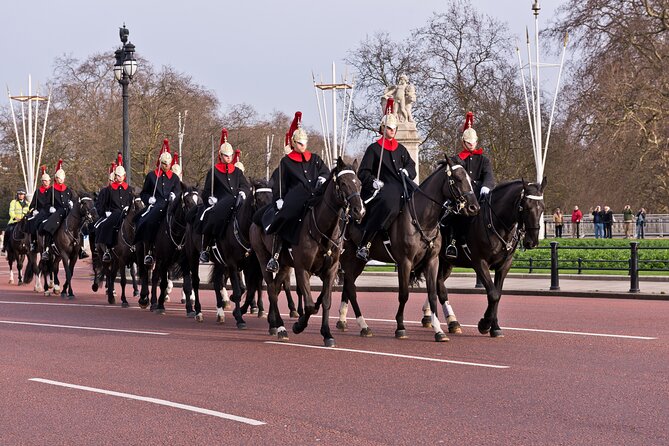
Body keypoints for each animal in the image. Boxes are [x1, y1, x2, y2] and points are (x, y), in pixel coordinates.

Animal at [250, 158, 366, 348]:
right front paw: (298, 325)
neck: (323, 230)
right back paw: (280, 328)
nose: (360, 211)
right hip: (263, 260)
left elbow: (325, 301)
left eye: (359, 183)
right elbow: (310, 304)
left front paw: (327, 334)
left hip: (284, 266)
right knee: (272, 291)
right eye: (343, 183)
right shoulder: (302, 269)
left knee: (276, 288)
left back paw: (273, 323)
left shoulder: (331, 270)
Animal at [340, 159, 480, 342]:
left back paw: (346, 321)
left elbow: (433, 294)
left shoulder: (432, 261)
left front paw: (438, 329)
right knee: (350, 286)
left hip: (358, 261)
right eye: (456, 179)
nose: (474, 207)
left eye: (470, 179)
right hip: (349, 256)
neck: (423, 218)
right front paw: (400, 326)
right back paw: (359, 324)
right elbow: (404, 294)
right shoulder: (404, 262)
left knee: (348, 285)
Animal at [420, 178, 544, 338]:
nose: (532, 242)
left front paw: (495, 326)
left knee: (437, 284)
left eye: (542, 208)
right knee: (440, 289)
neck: (497, 225)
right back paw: (450, 321)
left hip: (446, 263)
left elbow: (497, 294)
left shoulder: (504, 266)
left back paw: (436, 317)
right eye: (526, 207)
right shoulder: (480, 263)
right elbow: (493, 294)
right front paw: (485, 324)